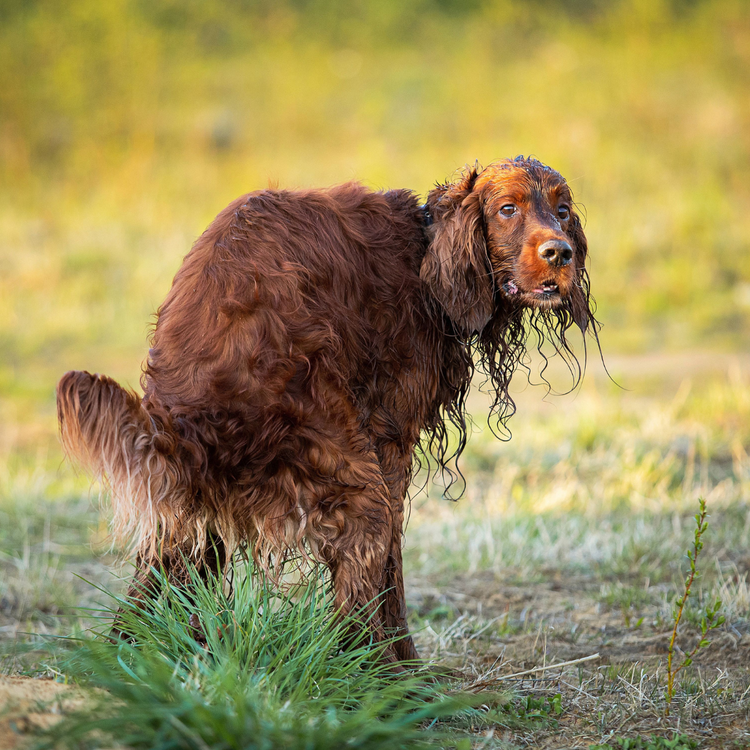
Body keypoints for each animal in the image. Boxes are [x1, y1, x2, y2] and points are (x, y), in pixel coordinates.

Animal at [57, 159, 600, 664]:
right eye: (507, 209)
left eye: (563, 211)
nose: (560, 252)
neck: (425, 250)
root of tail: (186, 420)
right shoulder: (390, 441)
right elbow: (392, 571)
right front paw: (410, 667)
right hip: (351, 482)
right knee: (357, 592)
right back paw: (384, 678)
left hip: (191, 505)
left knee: (161, 575)